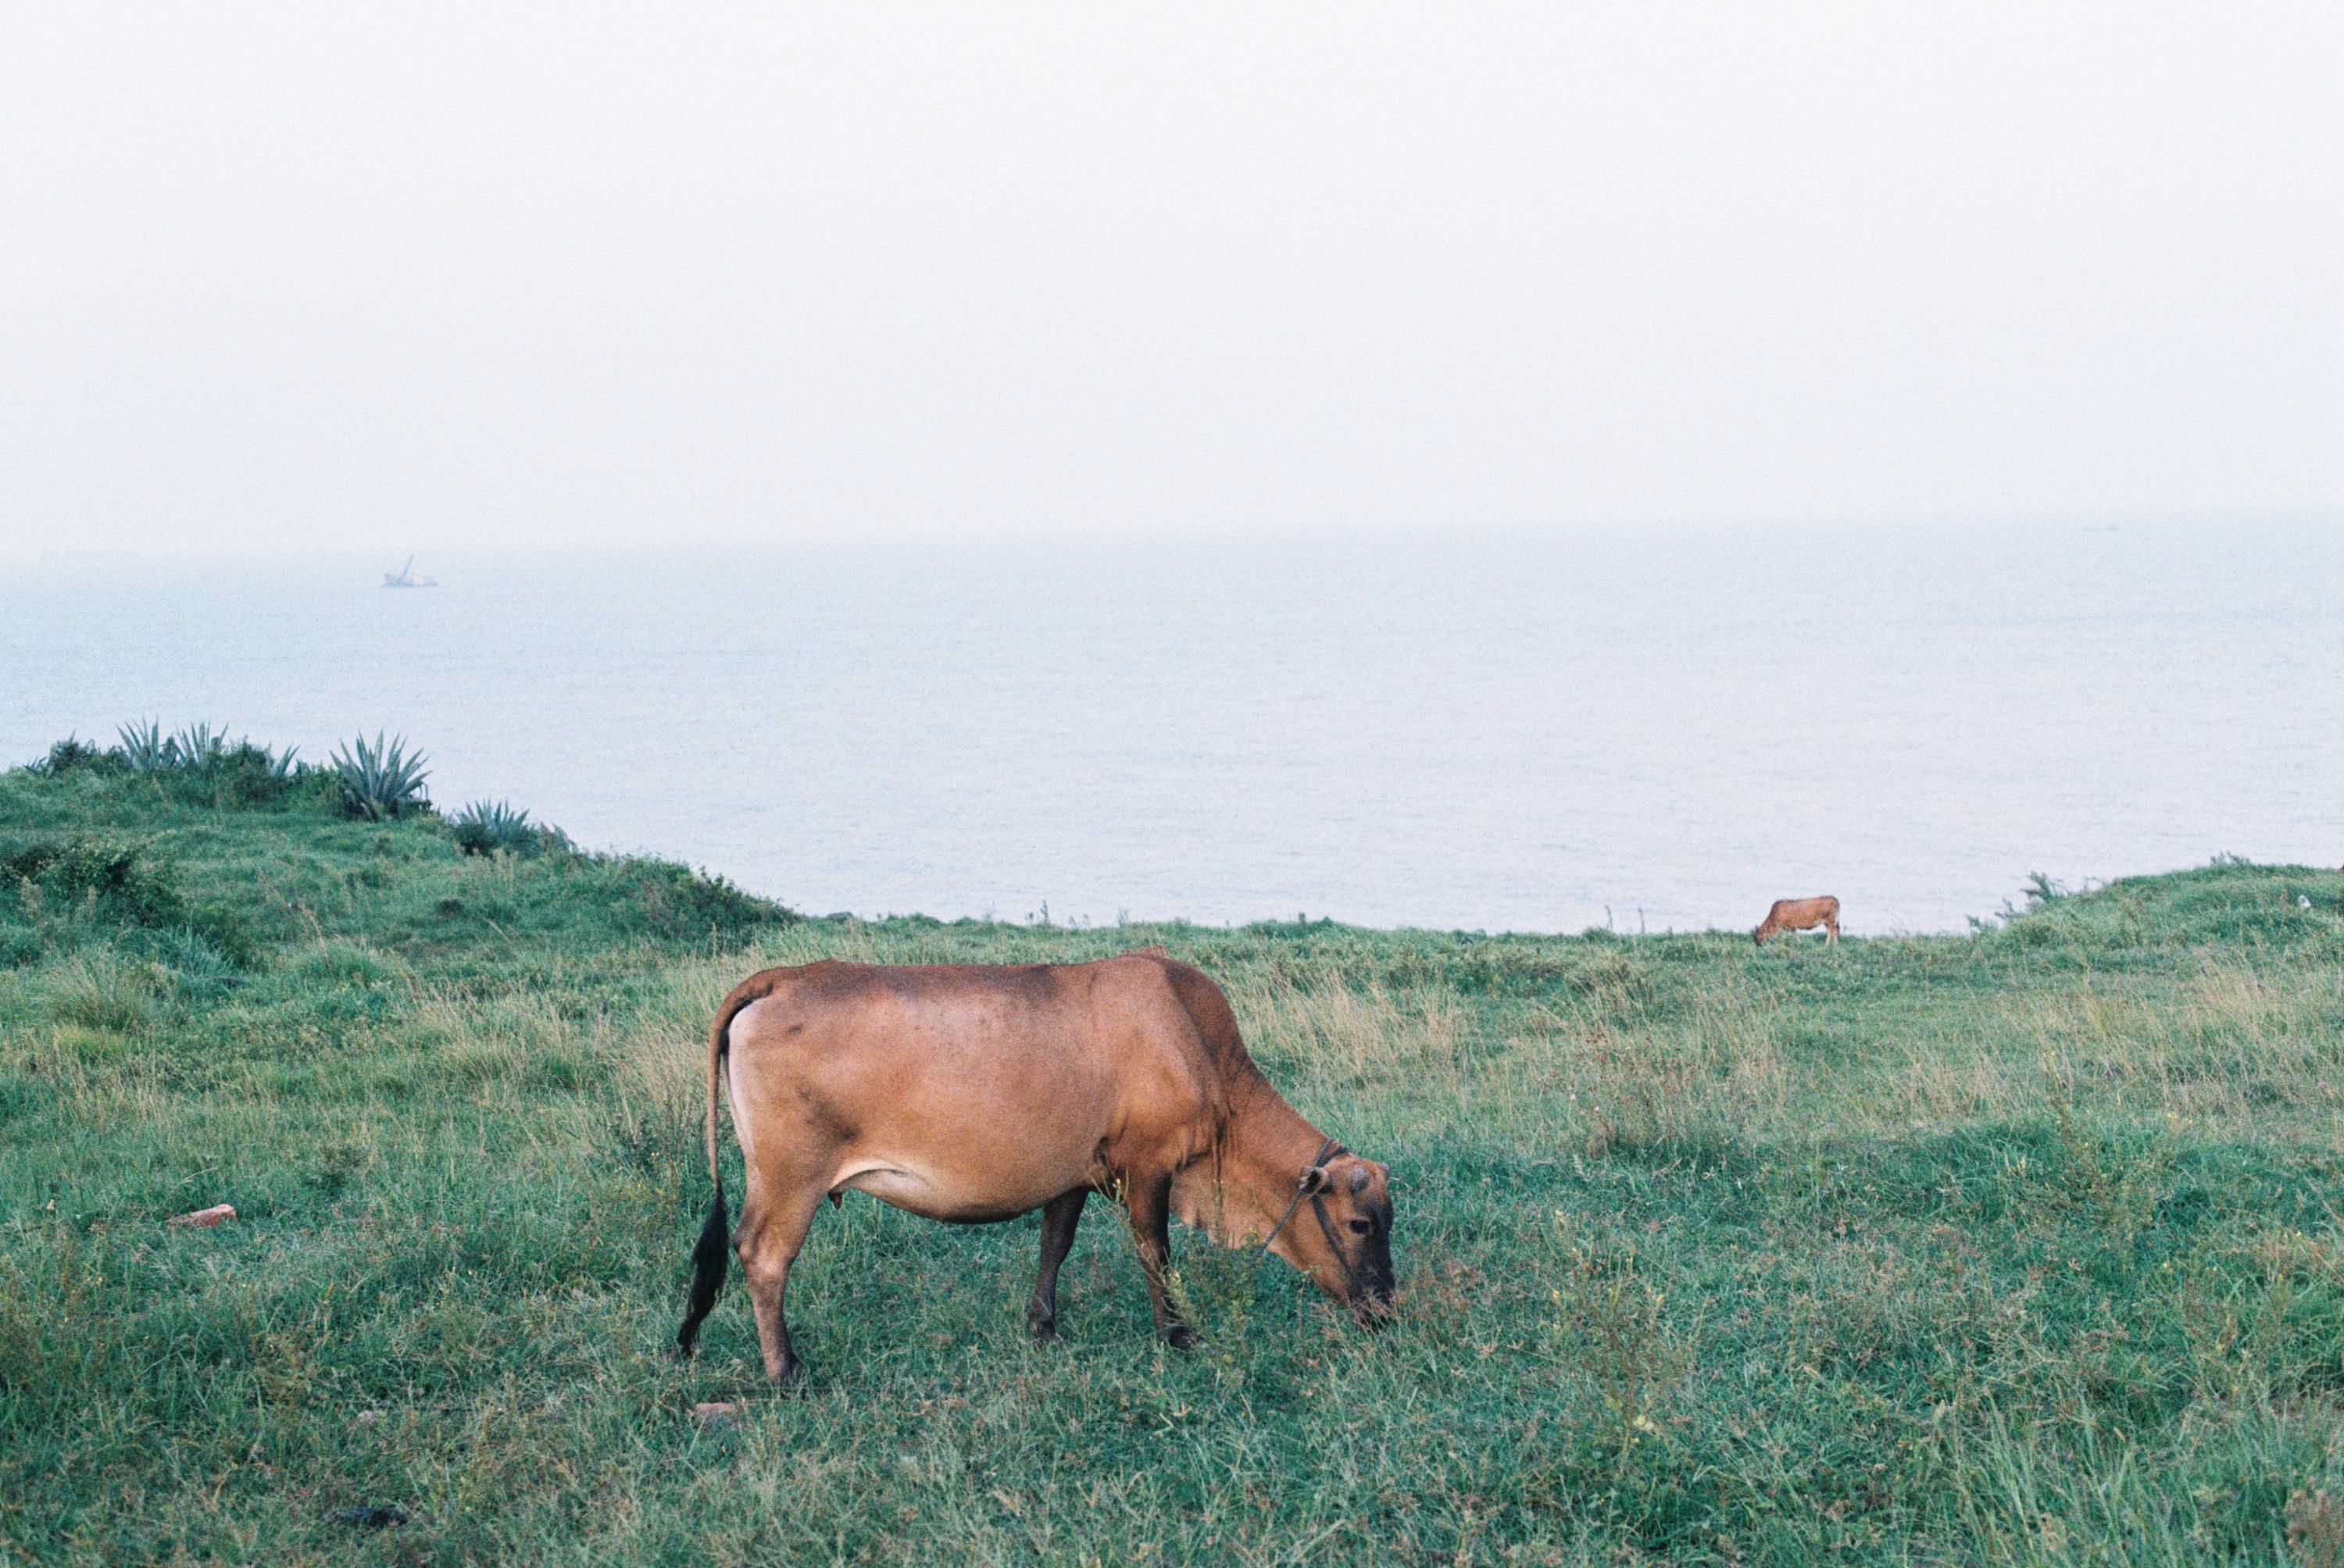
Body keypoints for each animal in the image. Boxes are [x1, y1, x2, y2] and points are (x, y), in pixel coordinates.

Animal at [670, 947, 1388, 1378]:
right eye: (1359, 1223)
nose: (1385, 1310)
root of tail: (781, 976)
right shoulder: (1148, 1167)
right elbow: (1155, 1253)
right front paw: (1178, 1334)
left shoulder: (1072, 1173)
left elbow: (1055, 1244)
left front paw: (1043, 1327)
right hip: (790, 1178)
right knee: (764, 1255)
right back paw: (786, 1369)